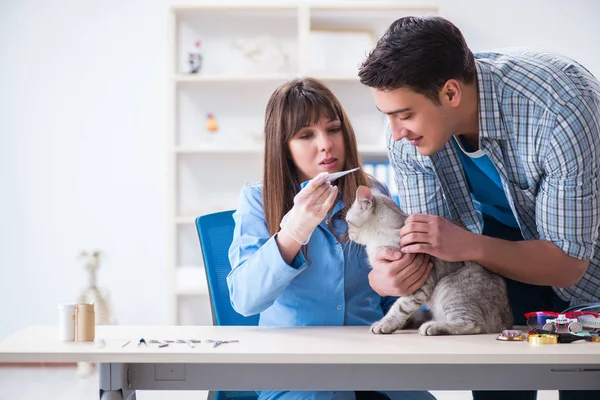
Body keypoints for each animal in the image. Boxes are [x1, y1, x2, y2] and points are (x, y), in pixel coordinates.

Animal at [346, 186, 510, 336]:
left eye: (348, 222)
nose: (347, 234)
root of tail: (505, 320)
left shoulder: (419, 285)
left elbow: (399, 307)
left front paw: (385, 323)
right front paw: (402, 323)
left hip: (450, 288)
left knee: (472, 324)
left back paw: (431, 326)